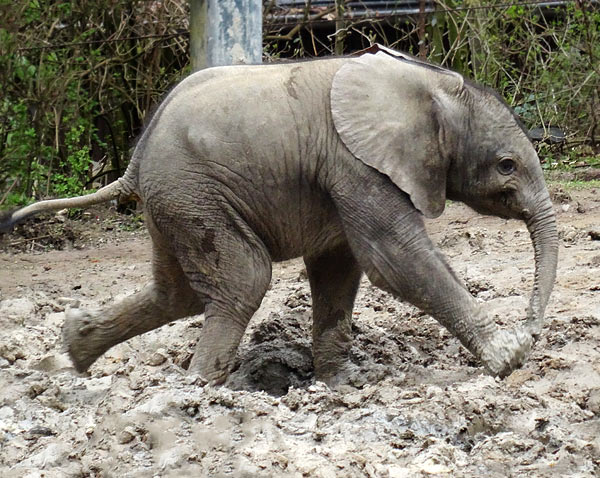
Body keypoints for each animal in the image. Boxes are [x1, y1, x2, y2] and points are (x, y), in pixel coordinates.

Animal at [0, 44, 556, 386]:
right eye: (507, 165)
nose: (531, 330)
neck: (426, 83)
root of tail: (136, 161)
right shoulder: (355, 164)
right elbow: (394, 259)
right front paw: (507, 358)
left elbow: (339, 268)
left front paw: (339, 384)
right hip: (195, 192)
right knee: (243, 279)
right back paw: (199, 391)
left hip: (175, 199)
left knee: (177, 293)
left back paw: (76, 348)